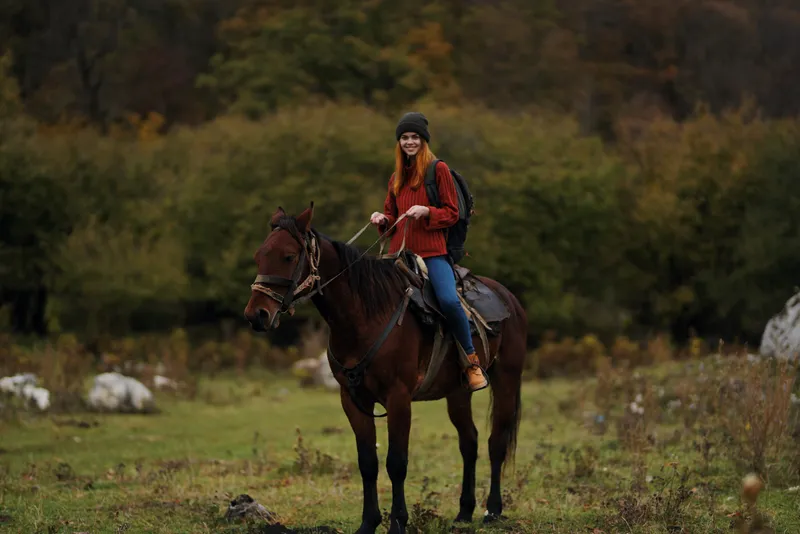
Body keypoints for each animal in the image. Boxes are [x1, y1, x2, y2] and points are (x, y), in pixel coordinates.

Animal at [243, 203, 528, 534]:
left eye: (288, 256)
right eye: (259, 255)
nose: (257, 315)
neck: (365, 317)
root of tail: (509, 299)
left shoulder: (398, 398)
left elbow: (397, 463)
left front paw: (398, 523)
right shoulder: (353, 400)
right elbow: (368, 462)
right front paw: (369, 522)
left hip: (506, 379)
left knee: (497, 442)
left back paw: (492, 510)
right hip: (458, 392)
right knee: (469, 442)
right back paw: (464, 512)